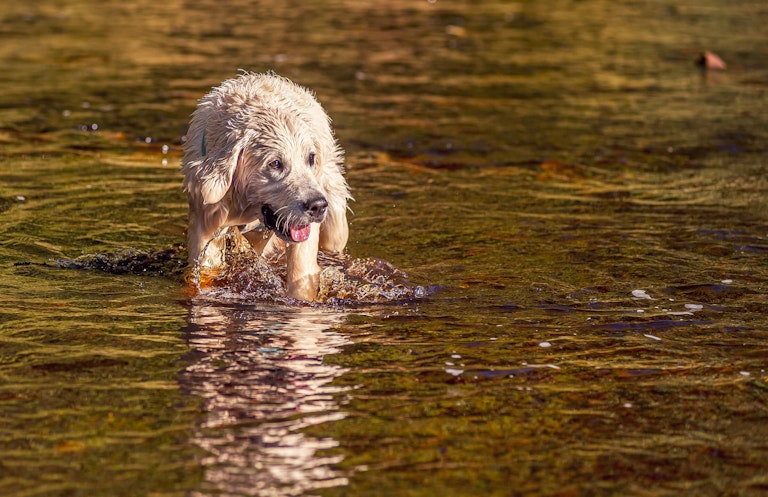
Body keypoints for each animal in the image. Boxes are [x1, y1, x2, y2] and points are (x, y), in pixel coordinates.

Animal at [182, 71, 350, 300]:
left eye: (311, 158)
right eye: (275, 163)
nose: (317, 206)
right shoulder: (205, 213)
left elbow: (302, 274)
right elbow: (206, 269)